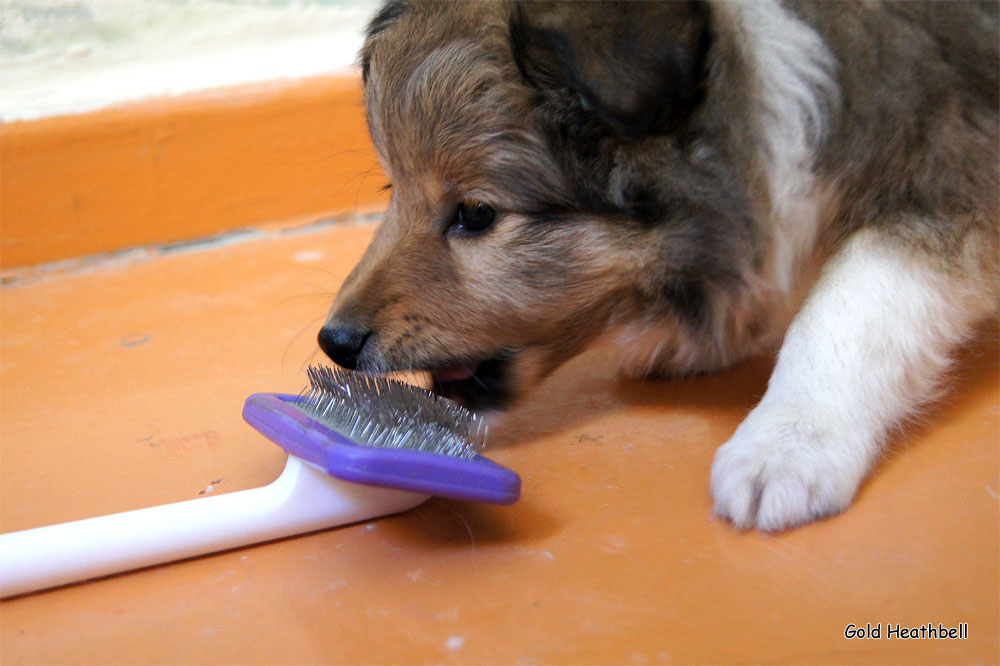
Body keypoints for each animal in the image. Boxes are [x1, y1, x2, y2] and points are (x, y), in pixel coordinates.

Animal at [316, 0, 996, 528]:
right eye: (394, 189)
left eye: (477, 213)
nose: (334, 342)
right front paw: (701, 339)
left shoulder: (948, 165)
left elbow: (851, 309)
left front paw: (786, 447)